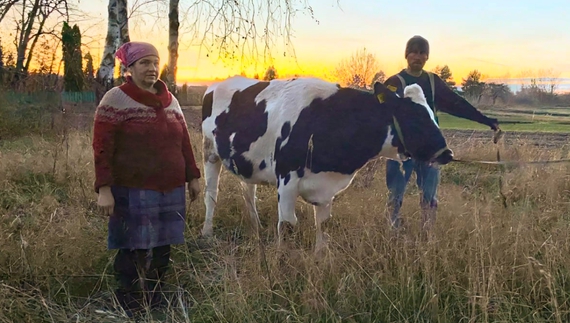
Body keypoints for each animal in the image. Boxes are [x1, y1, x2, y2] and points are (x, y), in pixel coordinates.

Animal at [197, 75, 450, 253]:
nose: (448, 153)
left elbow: (324, 225)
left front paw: (320, 258)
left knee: (248, 192)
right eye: (414, 118)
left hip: (247, 162)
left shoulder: (326, 188)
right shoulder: (286, 179)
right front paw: (281, 264)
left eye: (431, 114)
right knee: (211, 193)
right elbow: (287, 225)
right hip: (209, 152)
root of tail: (216, 84)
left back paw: (256, 226)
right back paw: (207, 232)